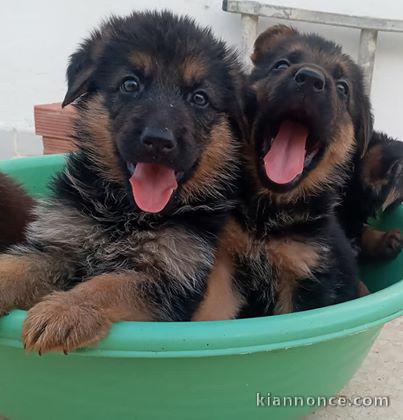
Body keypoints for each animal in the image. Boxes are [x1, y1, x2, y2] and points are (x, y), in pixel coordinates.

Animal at [0, 11, 245, 352]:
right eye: (130, 84)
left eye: (199, 98)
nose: (158, 141)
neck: (124, 213)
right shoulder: (60, 244)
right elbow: (17, 267)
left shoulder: (169, 279)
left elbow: (110, 284)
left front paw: (65, 309)